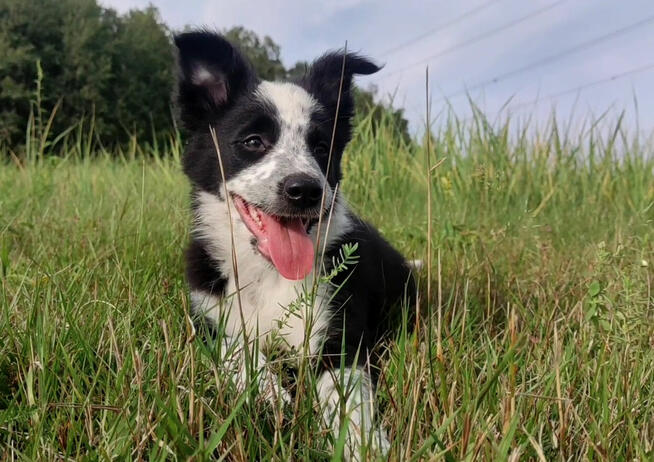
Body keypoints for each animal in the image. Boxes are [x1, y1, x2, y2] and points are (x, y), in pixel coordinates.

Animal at [174, 31, 416, 458]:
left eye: (321, 148)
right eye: (253, 141)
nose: (305, 190)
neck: (270, 273)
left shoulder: (339, 337)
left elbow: (347, 397)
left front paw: (362, 444)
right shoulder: (208, 320)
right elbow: (235, 349)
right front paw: (270, 394)